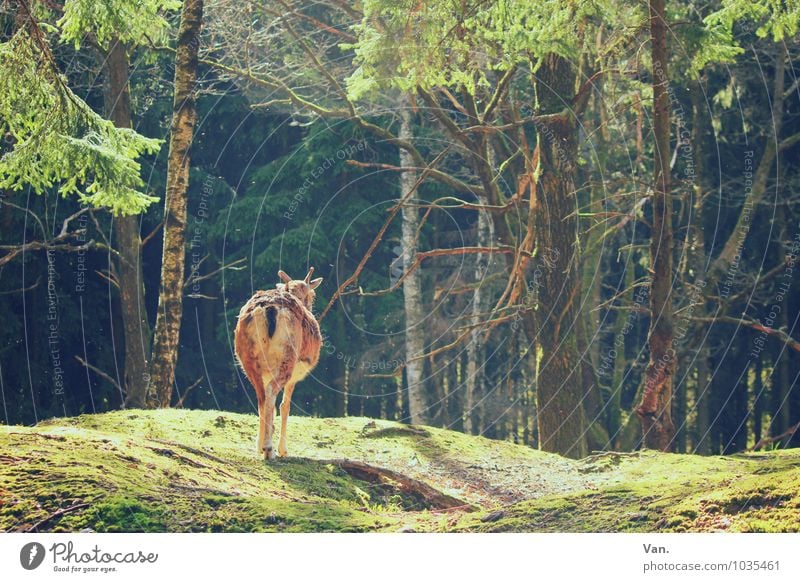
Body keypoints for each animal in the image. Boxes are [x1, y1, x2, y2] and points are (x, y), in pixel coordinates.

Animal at [236, 266, 324, 464]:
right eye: (313, 295)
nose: (311, 304)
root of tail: (269, 309)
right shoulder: (296, 375)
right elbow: (285, 406)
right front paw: (284, 450)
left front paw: (258, 445)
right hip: (288, 359)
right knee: (270, 392)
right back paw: (269, 449)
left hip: (247, 360)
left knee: (261, 397)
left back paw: (262, 446)